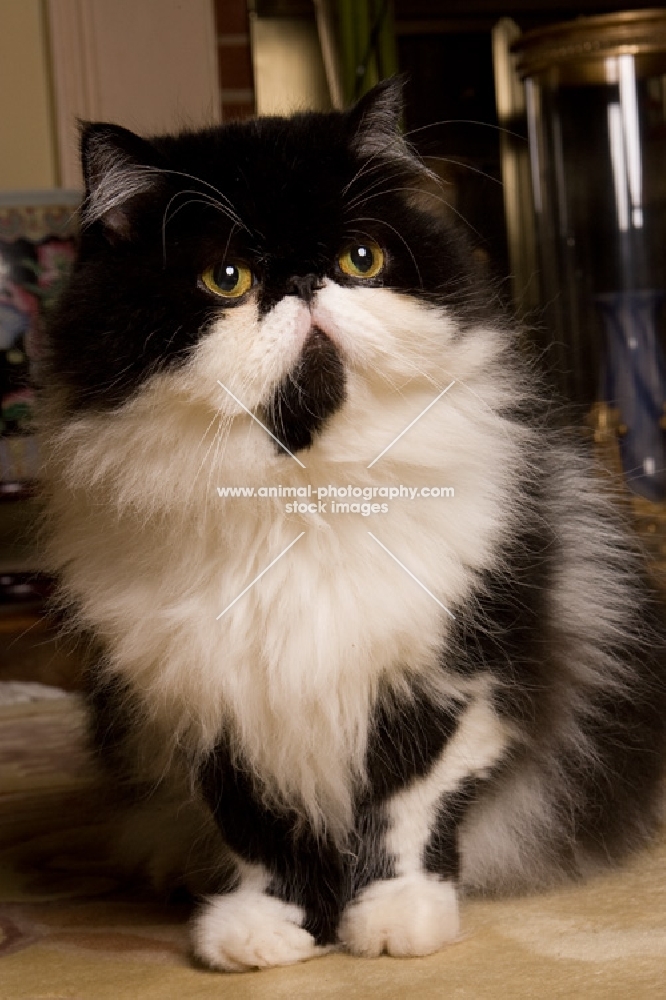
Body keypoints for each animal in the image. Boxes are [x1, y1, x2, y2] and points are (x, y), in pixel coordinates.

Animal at [40, 82, 664, 972]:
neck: (302, 499)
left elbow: (406, 813)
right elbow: (259, 833)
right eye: (226, 278)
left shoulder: (452, 679)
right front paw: (264, 934)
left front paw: (397, 922)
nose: (304, 281)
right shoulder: (213, 698)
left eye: (360, 261)